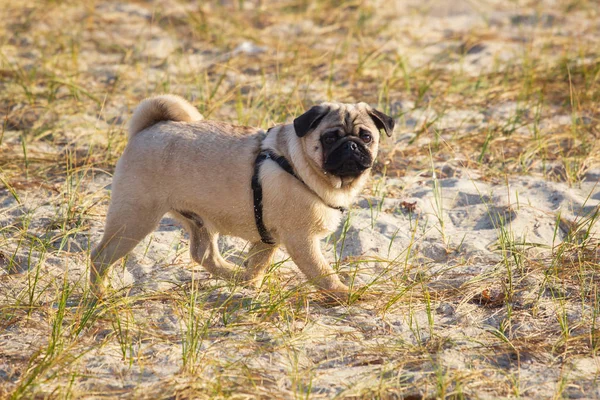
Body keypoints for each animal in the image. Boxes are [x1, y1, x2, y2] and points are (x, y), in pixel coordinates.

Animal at [90, 94, 394, 300]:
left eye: (367, 137)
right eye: (330, 138)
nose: (351, 146)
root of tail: (148, 129)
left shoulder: (267, 238)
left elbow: (258, 264)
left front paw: (251, 283)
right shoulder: (301, 240)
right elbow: (323, 272)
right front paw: (345, 293)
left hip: (198, 221)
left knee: (204, 255)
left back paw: (237, 276)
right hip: (135, 218)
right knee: (100, 256)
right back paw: (99, 294)